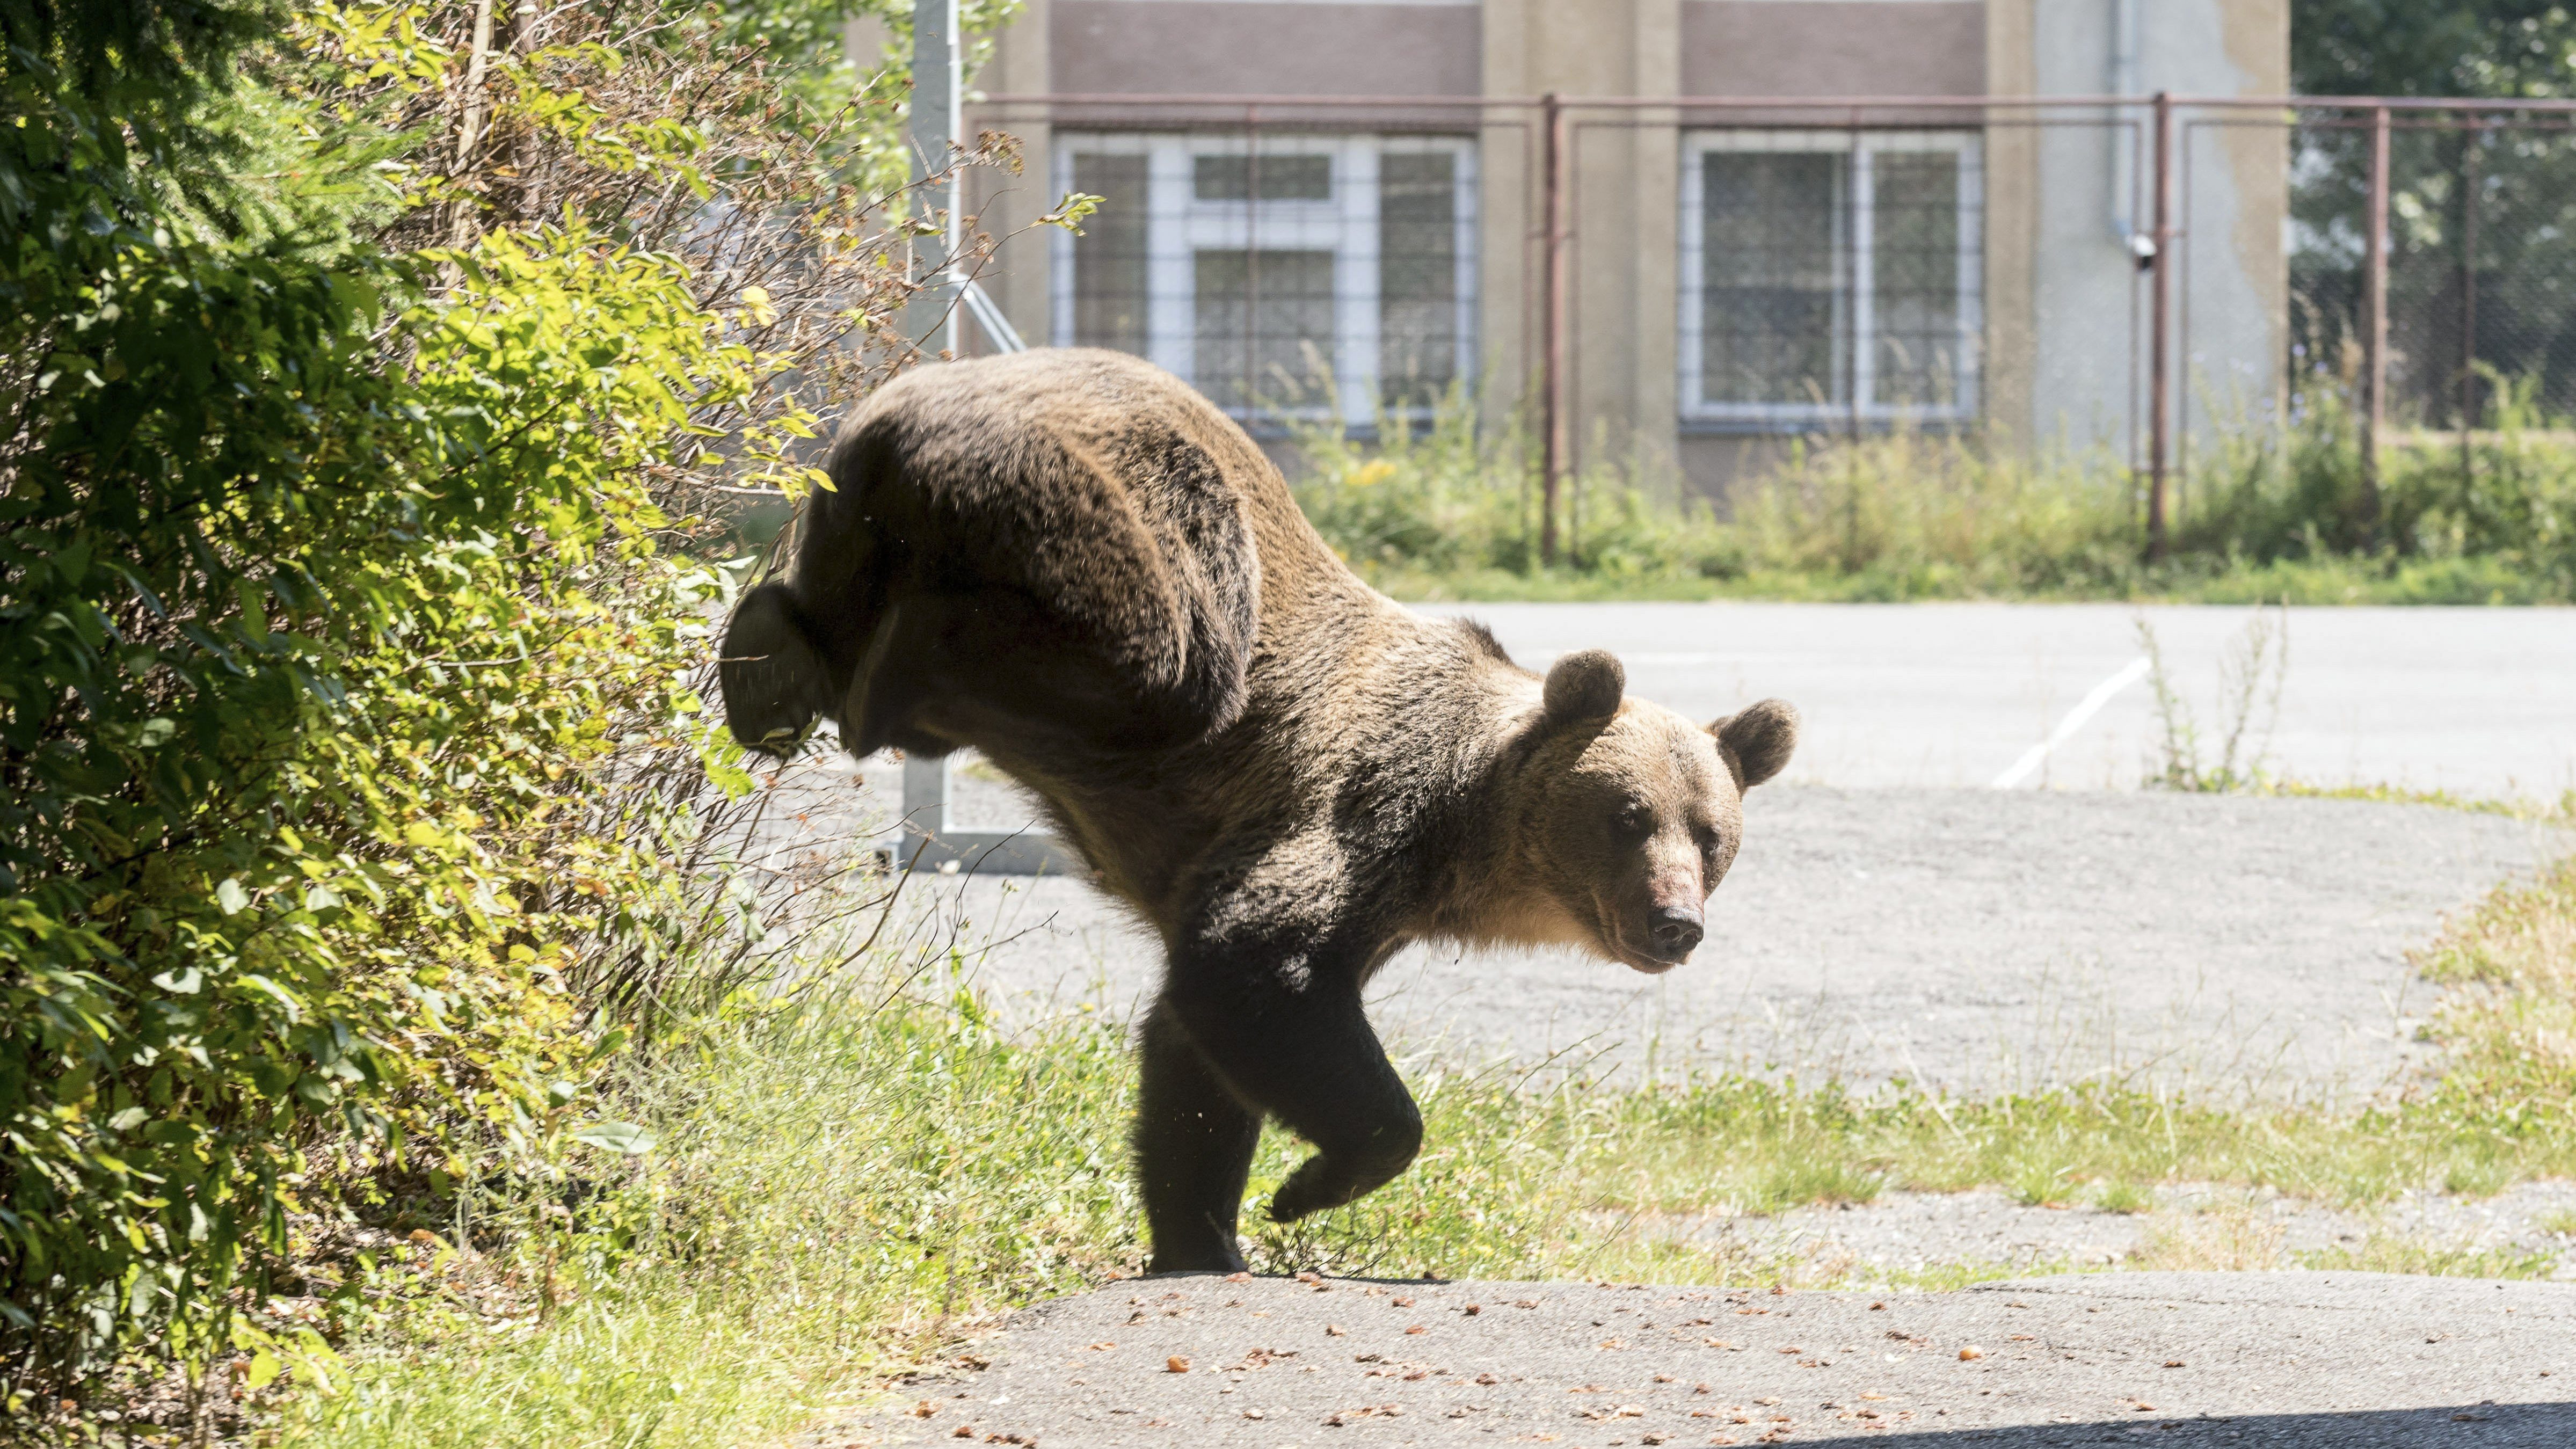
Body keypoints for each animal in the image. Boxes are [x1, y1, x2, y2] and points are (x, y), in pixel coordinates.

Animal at [716, 347, 1803, 1271]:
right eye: (1627, 816)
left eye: (1711, 836)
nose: (1674, 921)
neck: (1464, 834)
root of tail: (899, 406)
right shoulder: (1361, 806)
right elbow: (1254, 961)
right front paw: (1305, 1186)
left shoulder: (1376, 900)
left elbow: (1190, 1054)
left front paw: (1204, 1230)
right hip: (1112, 514)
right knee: (1160, 654)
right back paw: (878, 677)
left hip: (851, 510)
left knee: (823, 600)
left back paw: (766, 661)